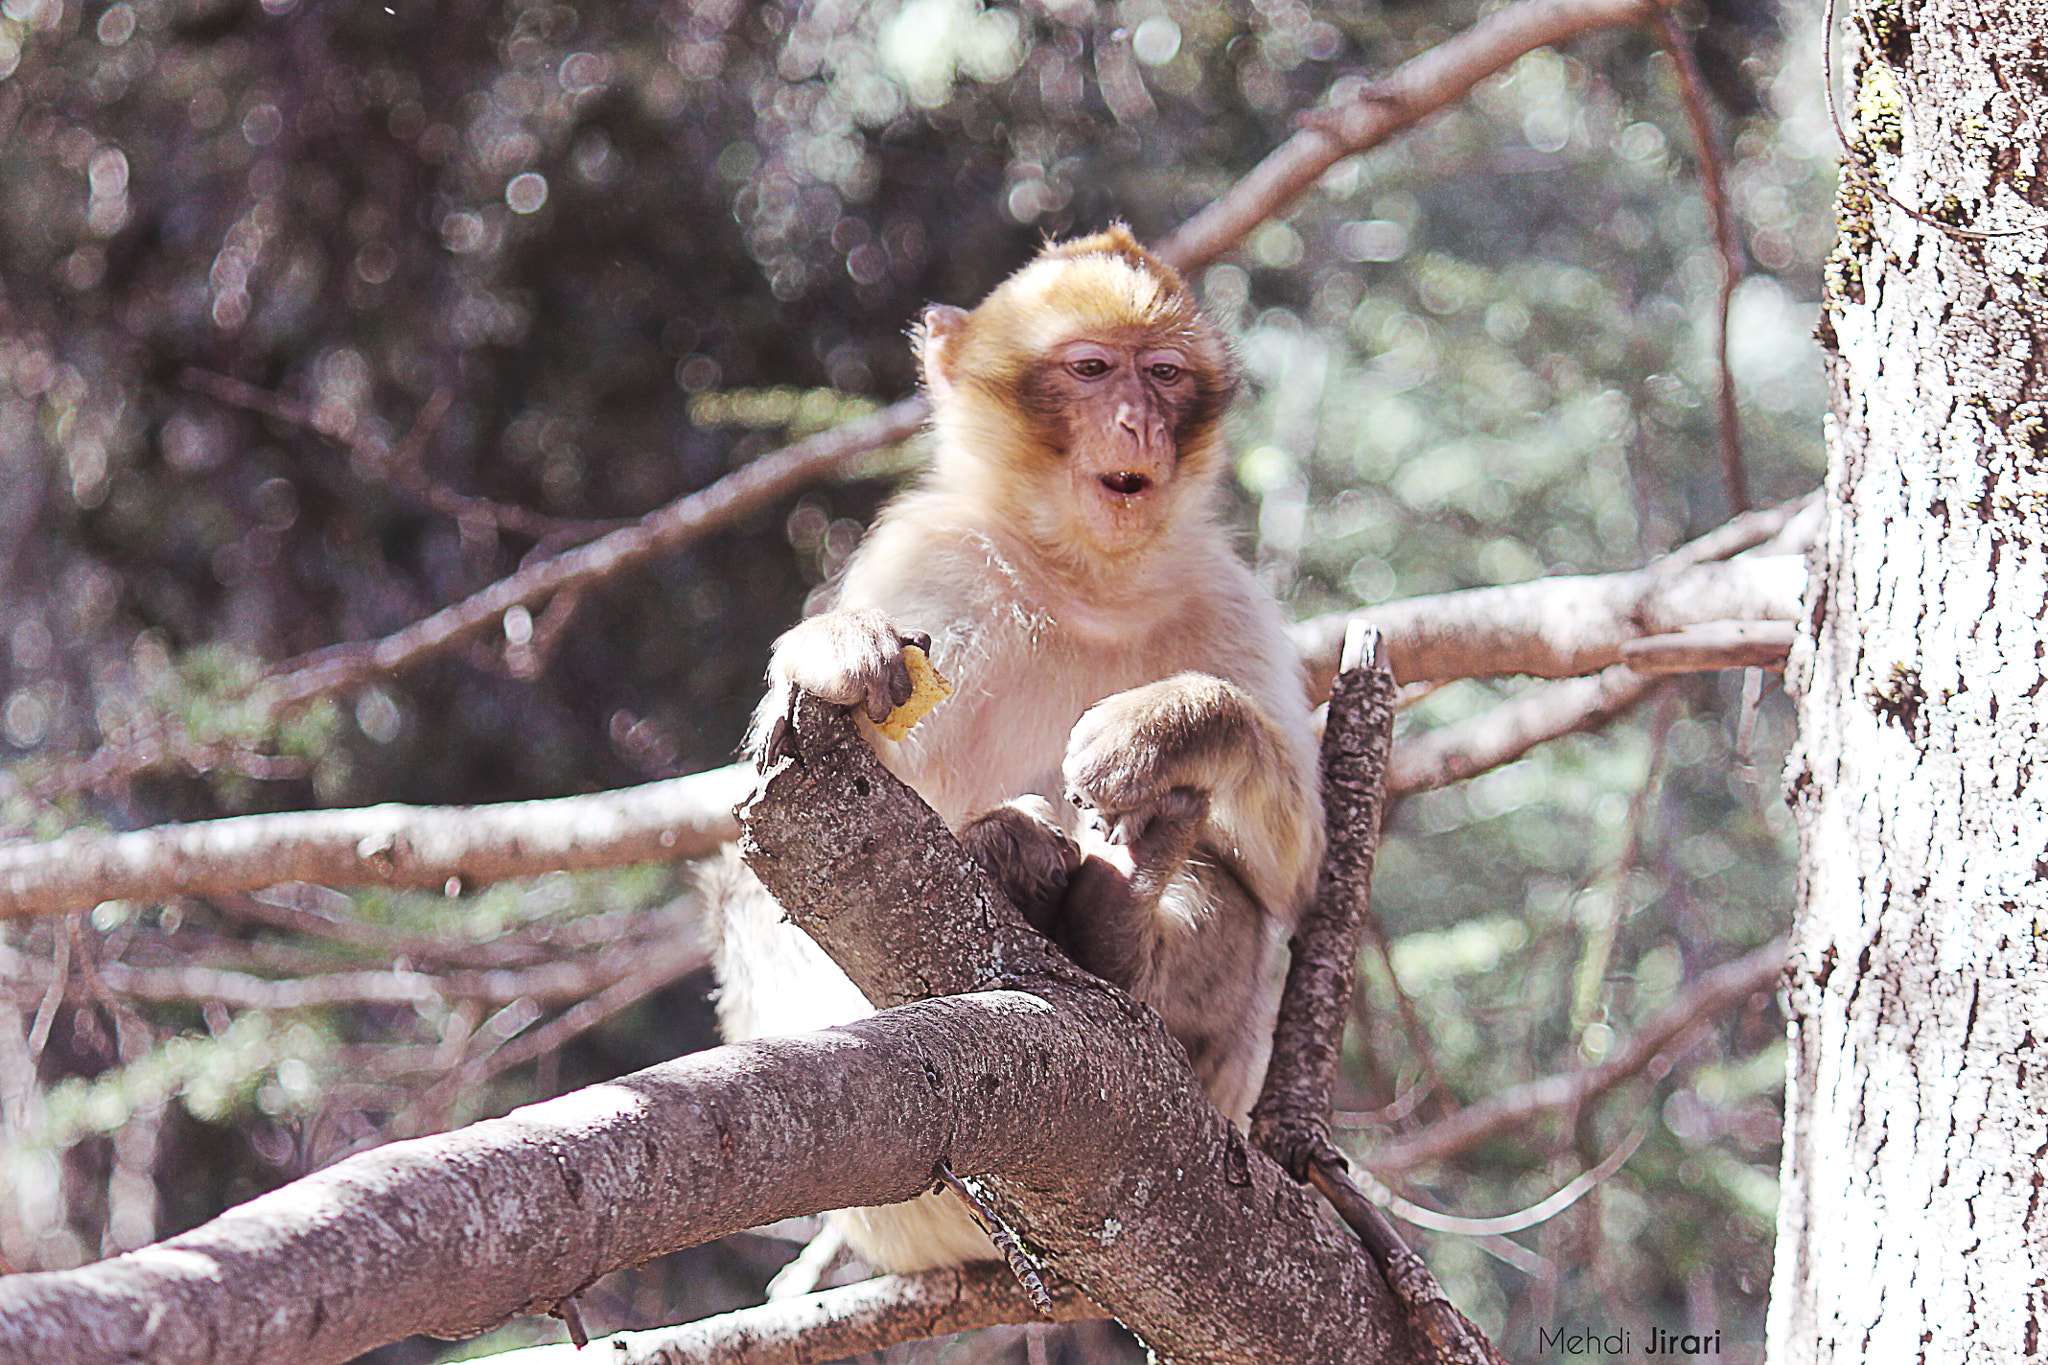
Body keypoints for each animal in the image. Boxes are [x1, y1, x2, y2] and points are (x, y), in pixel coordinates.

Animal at [711, 225, 1323, 1273]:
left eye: (1162, 374)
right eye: (1091, 369)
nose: (1136, 422)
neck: (1086, 579)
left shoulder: (1229, 593)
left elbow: (1299, 871)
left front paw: (1176, 726)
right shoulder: (930, 561)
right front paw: (830, 652)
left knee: (1226, 878)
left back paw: (1120, 908)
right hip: (898, 1214)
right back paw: (1025, 860)